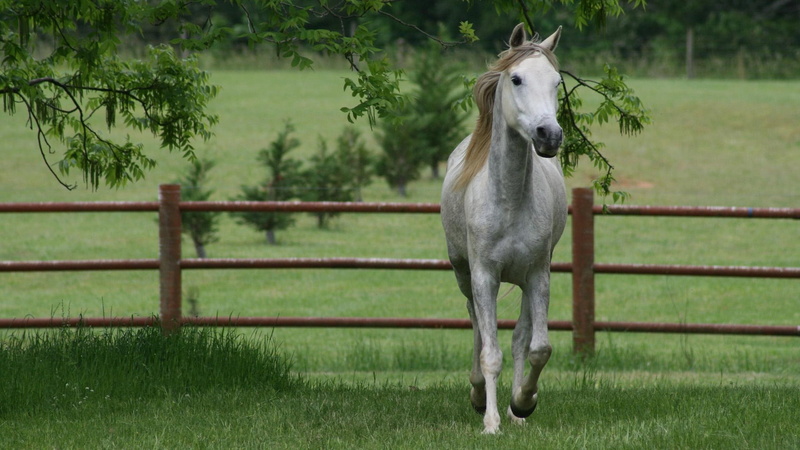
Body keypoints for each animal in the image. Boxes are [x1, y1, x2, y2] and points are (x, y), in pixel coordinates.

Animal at [440, 23, 567, 434]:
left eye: (557, 82)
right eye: (516, 79)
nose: (549, 135)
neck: (509, 200)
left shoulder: (538, 275)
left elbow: (536, 347)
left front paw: (523, 403)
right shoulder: (484, 276)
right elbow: (490, 352)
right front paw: (491, 422)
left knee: (520, 338)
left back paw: (514, 411)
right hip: (464, 275)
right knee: (477, 327)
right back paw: (479, 396)